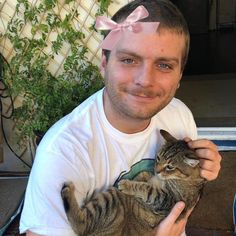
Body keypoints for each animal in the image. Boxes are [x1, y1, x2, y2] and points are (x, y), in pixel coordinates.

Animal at [61, 130, 206, 235]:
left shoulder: (169, 200)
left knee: (81, 226)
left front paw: (127, 184)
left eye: (170, 167)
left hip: (111, 197)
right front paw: (139, 177)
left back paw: (67, 190)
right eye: (158, 158)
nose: (157, 170)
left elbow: (148, 189)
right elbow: (145, 175)